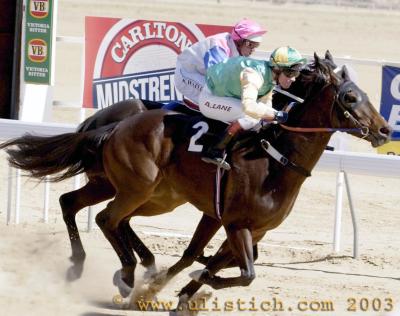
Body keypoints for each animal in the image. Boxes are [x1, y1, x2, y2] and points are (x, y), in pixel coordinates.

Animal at [0, 53, 390, 302]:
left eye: (364, 94)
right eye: (350, 97)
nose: (385, 130)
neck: (276, 160)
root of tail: (113, 126)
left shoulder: (242, 226)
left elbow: (211, 260)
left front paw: (181, 292)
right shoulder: (235, 223)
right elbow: (244, 272)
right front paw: (168, 286)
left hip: (133, 190)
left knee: (75, 204)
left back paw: (94, 267)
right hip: (136, 188)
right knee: (107, 219)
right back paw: (127, 274)